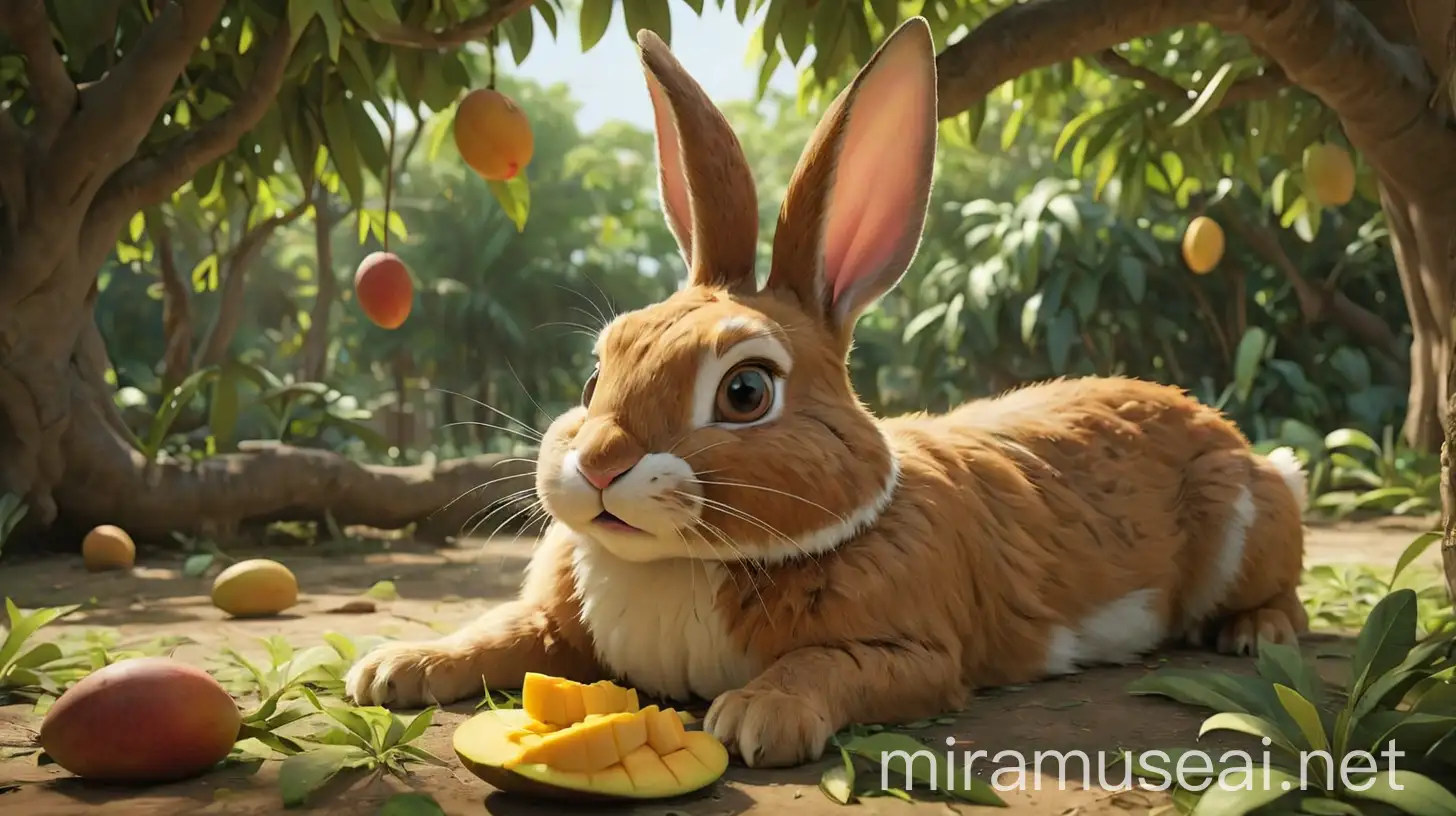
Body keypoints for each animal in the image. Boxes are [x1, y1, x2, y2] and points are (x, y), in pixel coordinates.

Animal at [346, 17, 1316, 769]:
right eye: (596, 372)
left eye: (745, 391)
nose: (597, 465)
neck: (678, 563)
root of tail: (1228, 437)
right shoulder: (554, 629)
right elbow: (500, 633)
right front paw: (397, 667)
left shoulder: (918, 654)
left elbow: (832, 667)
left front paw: (759, 716)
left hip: (1251, 516)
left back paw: (1257, 632)